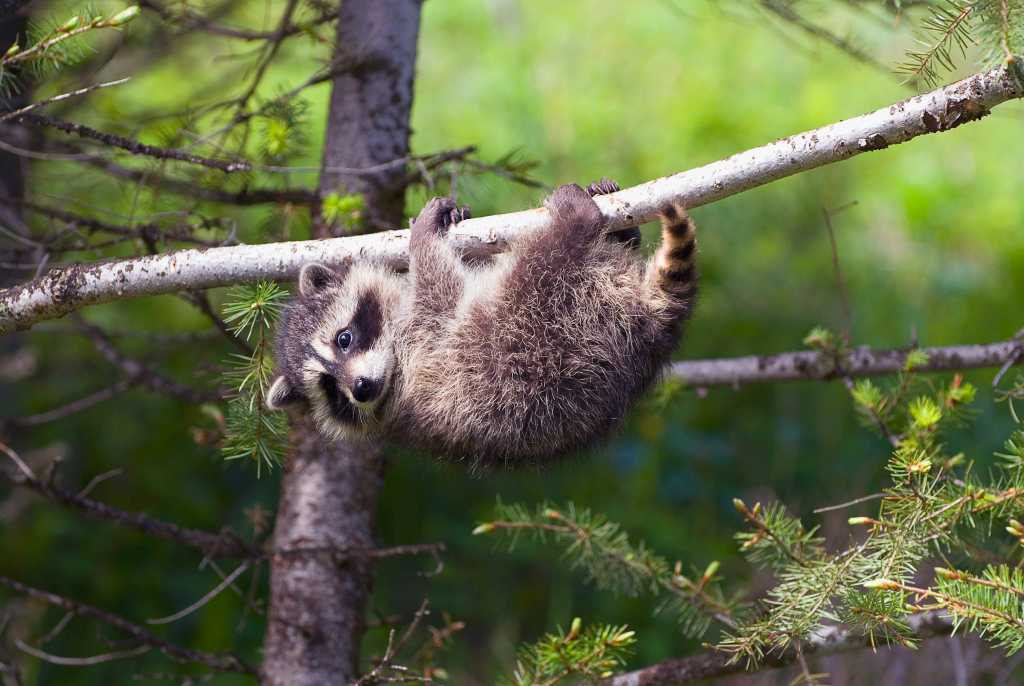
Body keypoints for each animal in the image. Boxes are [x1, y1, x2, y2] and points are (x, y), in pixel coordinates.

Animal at [268, 180, 700, 470]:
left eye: (344, 339)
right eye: (332, 391)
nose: (360, 389)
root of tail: (651, 330)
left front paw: (450, 221)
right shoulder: (428, 354)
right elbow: (439, 290)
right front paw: (422, 242)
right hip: (539, 340)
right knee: (542, 268)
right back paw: (576, 223)